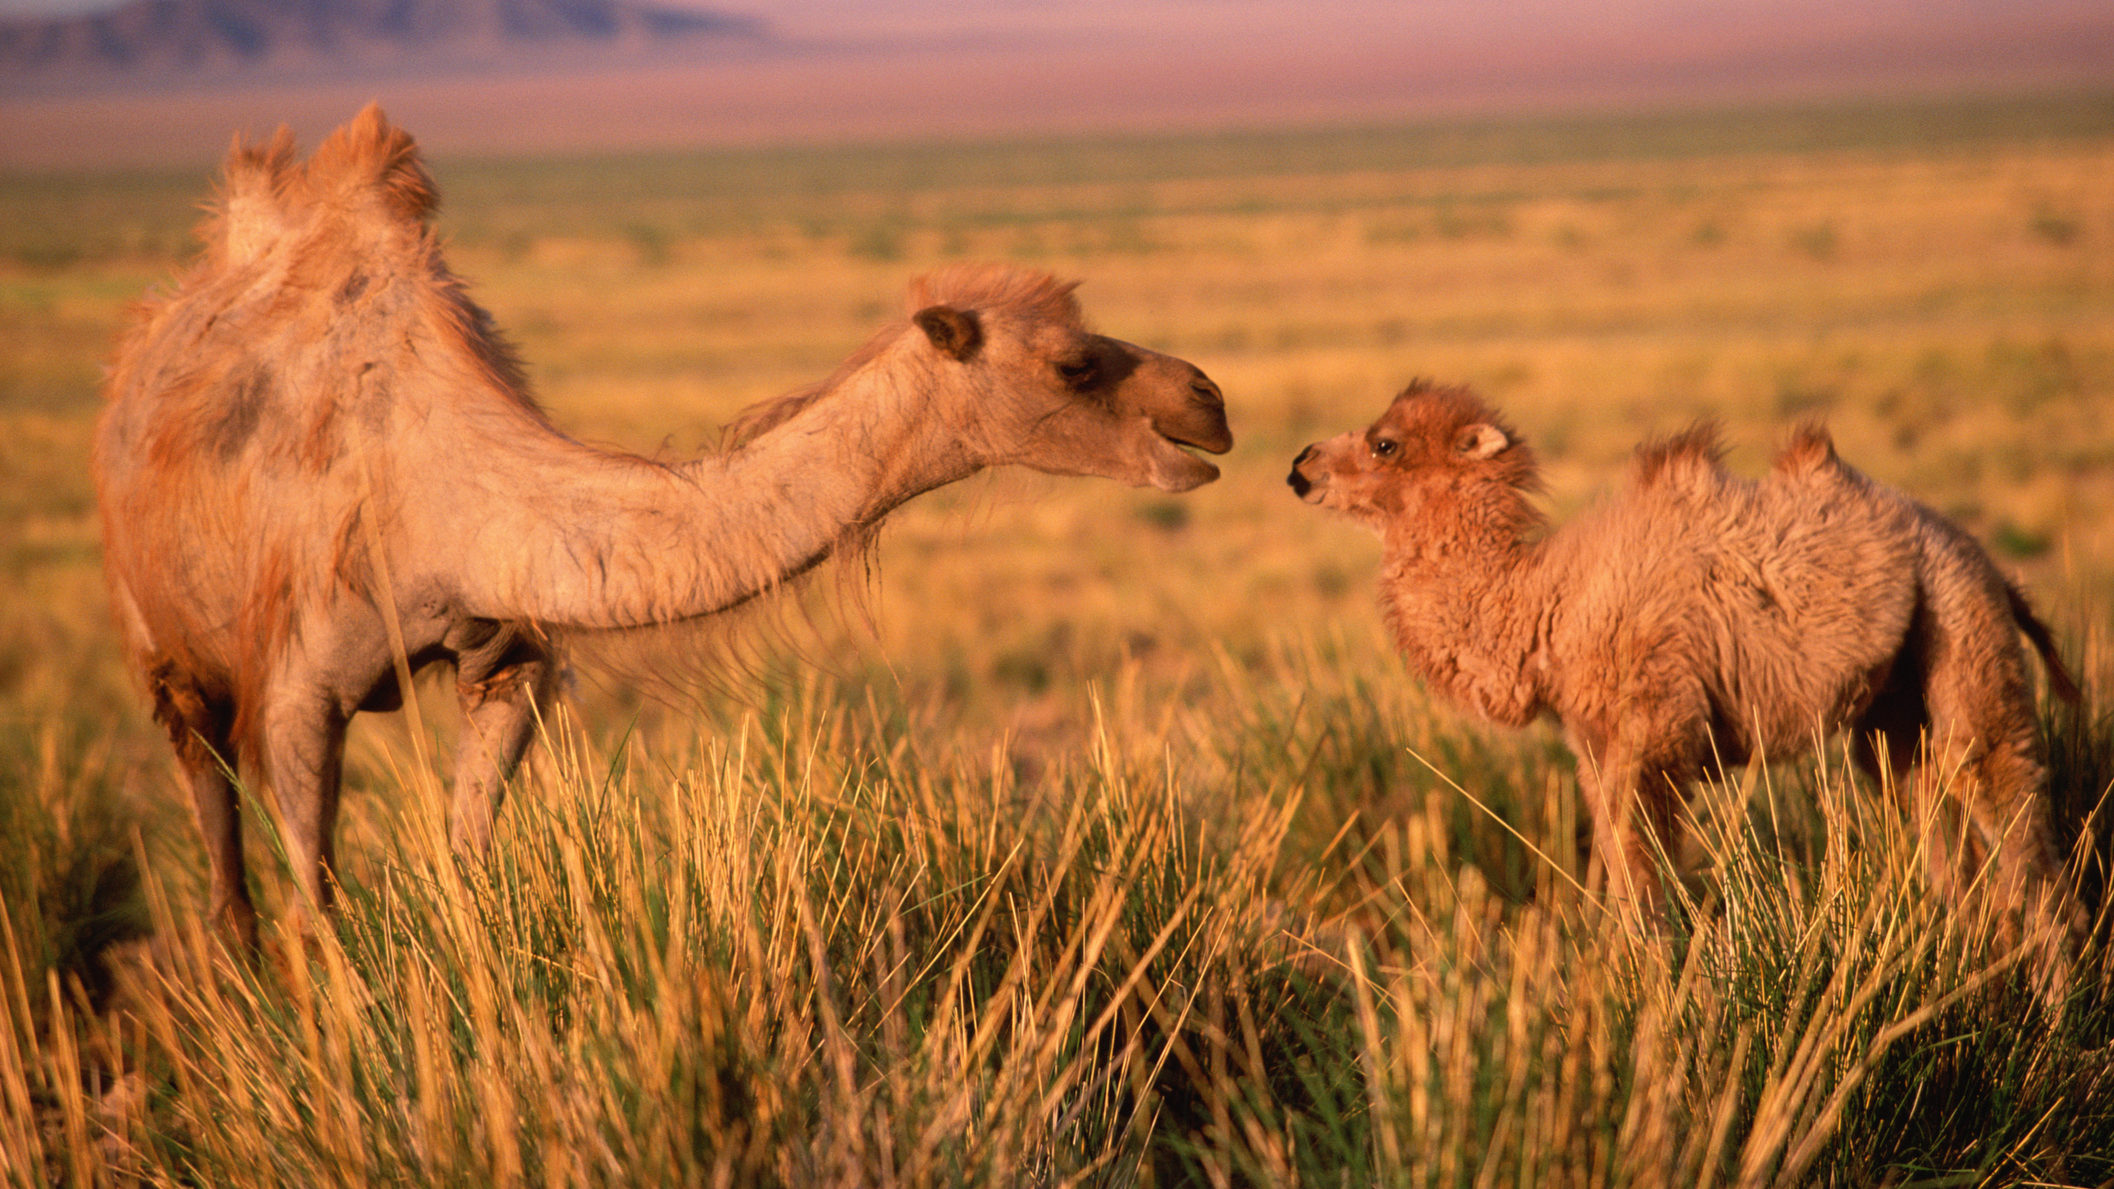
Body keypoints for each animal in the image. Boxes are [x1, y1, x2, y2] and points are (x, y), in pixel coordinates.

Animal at [95, 106, 1234, 939]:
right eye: (1072, 362)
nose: (1208, 401)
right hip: (165, 650)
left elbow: (466, 867)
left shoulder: (506, 657)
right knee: (224, 864)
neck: (440, 495)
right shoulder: (297, 692)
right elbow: (317, 913)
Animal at [1285, 380, 2080, 952]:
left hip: (1962, 626)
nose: (1300, 466)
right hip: (1895, 712)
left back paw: (2052, 1011)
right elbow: (1618, 864)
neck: (1547, 602)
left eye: (1385, 443)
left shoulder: (1654, 734)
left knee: (2015, 819)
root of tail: (1983, 557)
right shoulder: (1594, 745)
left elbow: (1643, 882)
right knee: (1944, 831)